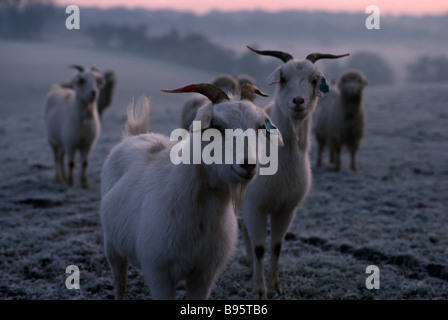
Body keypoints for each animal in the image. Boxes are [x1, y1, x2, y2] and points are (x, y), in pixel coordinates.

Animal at [242, 45, 350, 298]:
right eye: (283, 78)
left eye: (314, 80)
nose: (298, 101)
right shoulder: (255, 205)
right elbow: (260, 248)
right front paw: (260, 289)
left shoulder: (286, 208)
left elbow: (276, 247)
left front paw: (275, 285)